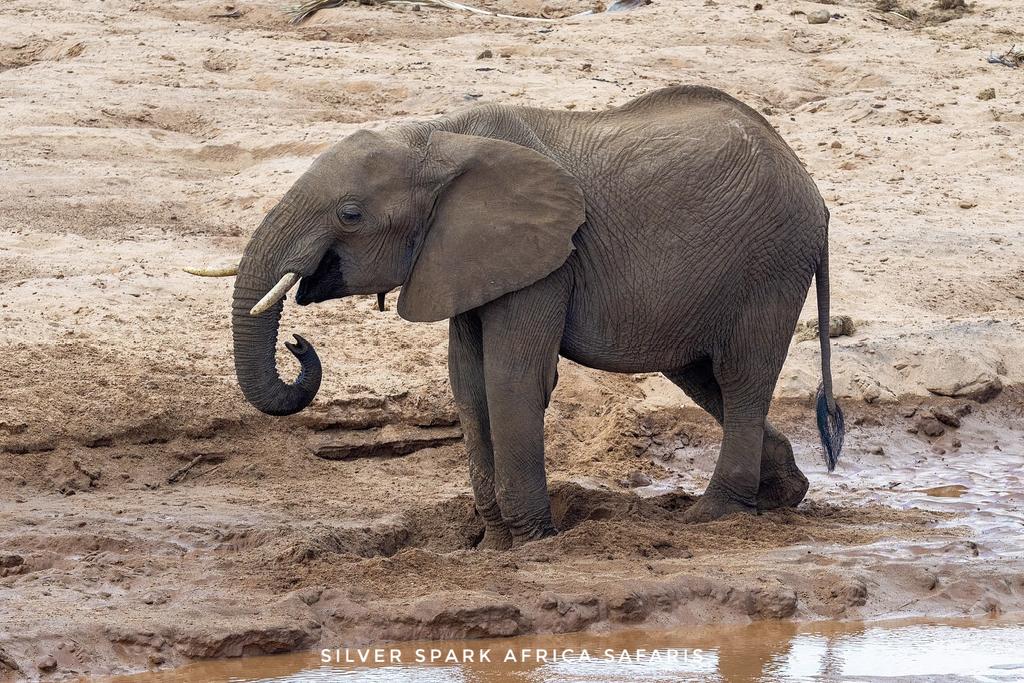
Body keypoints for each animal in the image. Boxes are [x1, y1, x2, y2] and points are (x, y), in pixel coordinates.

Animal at [220, 85, 843, 548]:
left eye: (350, 215)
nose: (297, 343)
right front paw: (490, 547)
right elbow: (468, 383)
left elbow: (511, 379)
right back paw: (782, 495)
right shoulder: (464, 256)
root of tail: (813, 188)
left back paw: (712, 517)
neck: (438, 138)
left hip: (771, 263)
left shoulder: (547, 258)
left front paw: (533, 544)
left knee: (740, 377)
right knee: (701, 376)